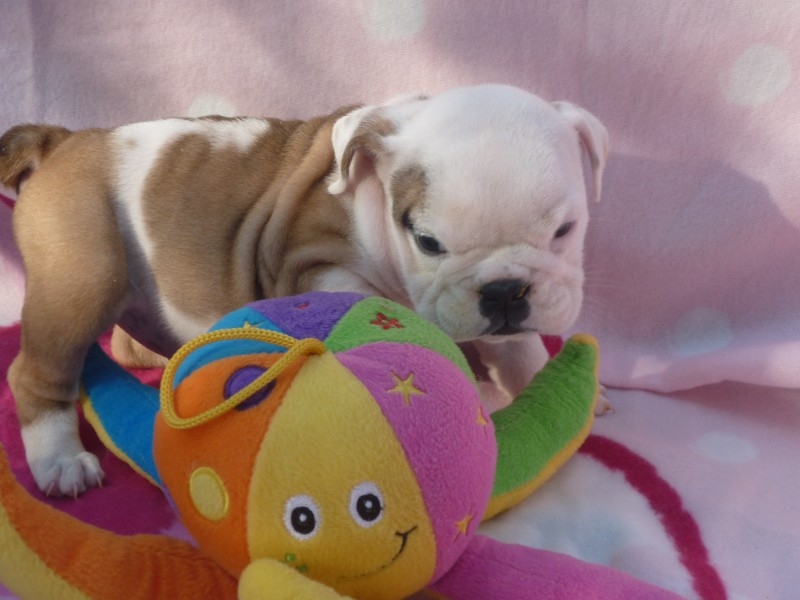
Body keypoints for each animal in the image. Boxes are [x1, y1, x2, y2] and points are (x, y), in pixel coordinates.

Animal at [0, 84, 607, 497]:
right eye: (427, 241)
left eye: (565, 230)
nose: (504, 290)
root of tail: (63, 142)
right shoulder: (312, 263)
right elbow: (359, 302)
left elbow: (521, 349)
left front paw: (558, 387)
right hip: (83, 272)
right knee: (36, 370)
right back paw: (60, 460)